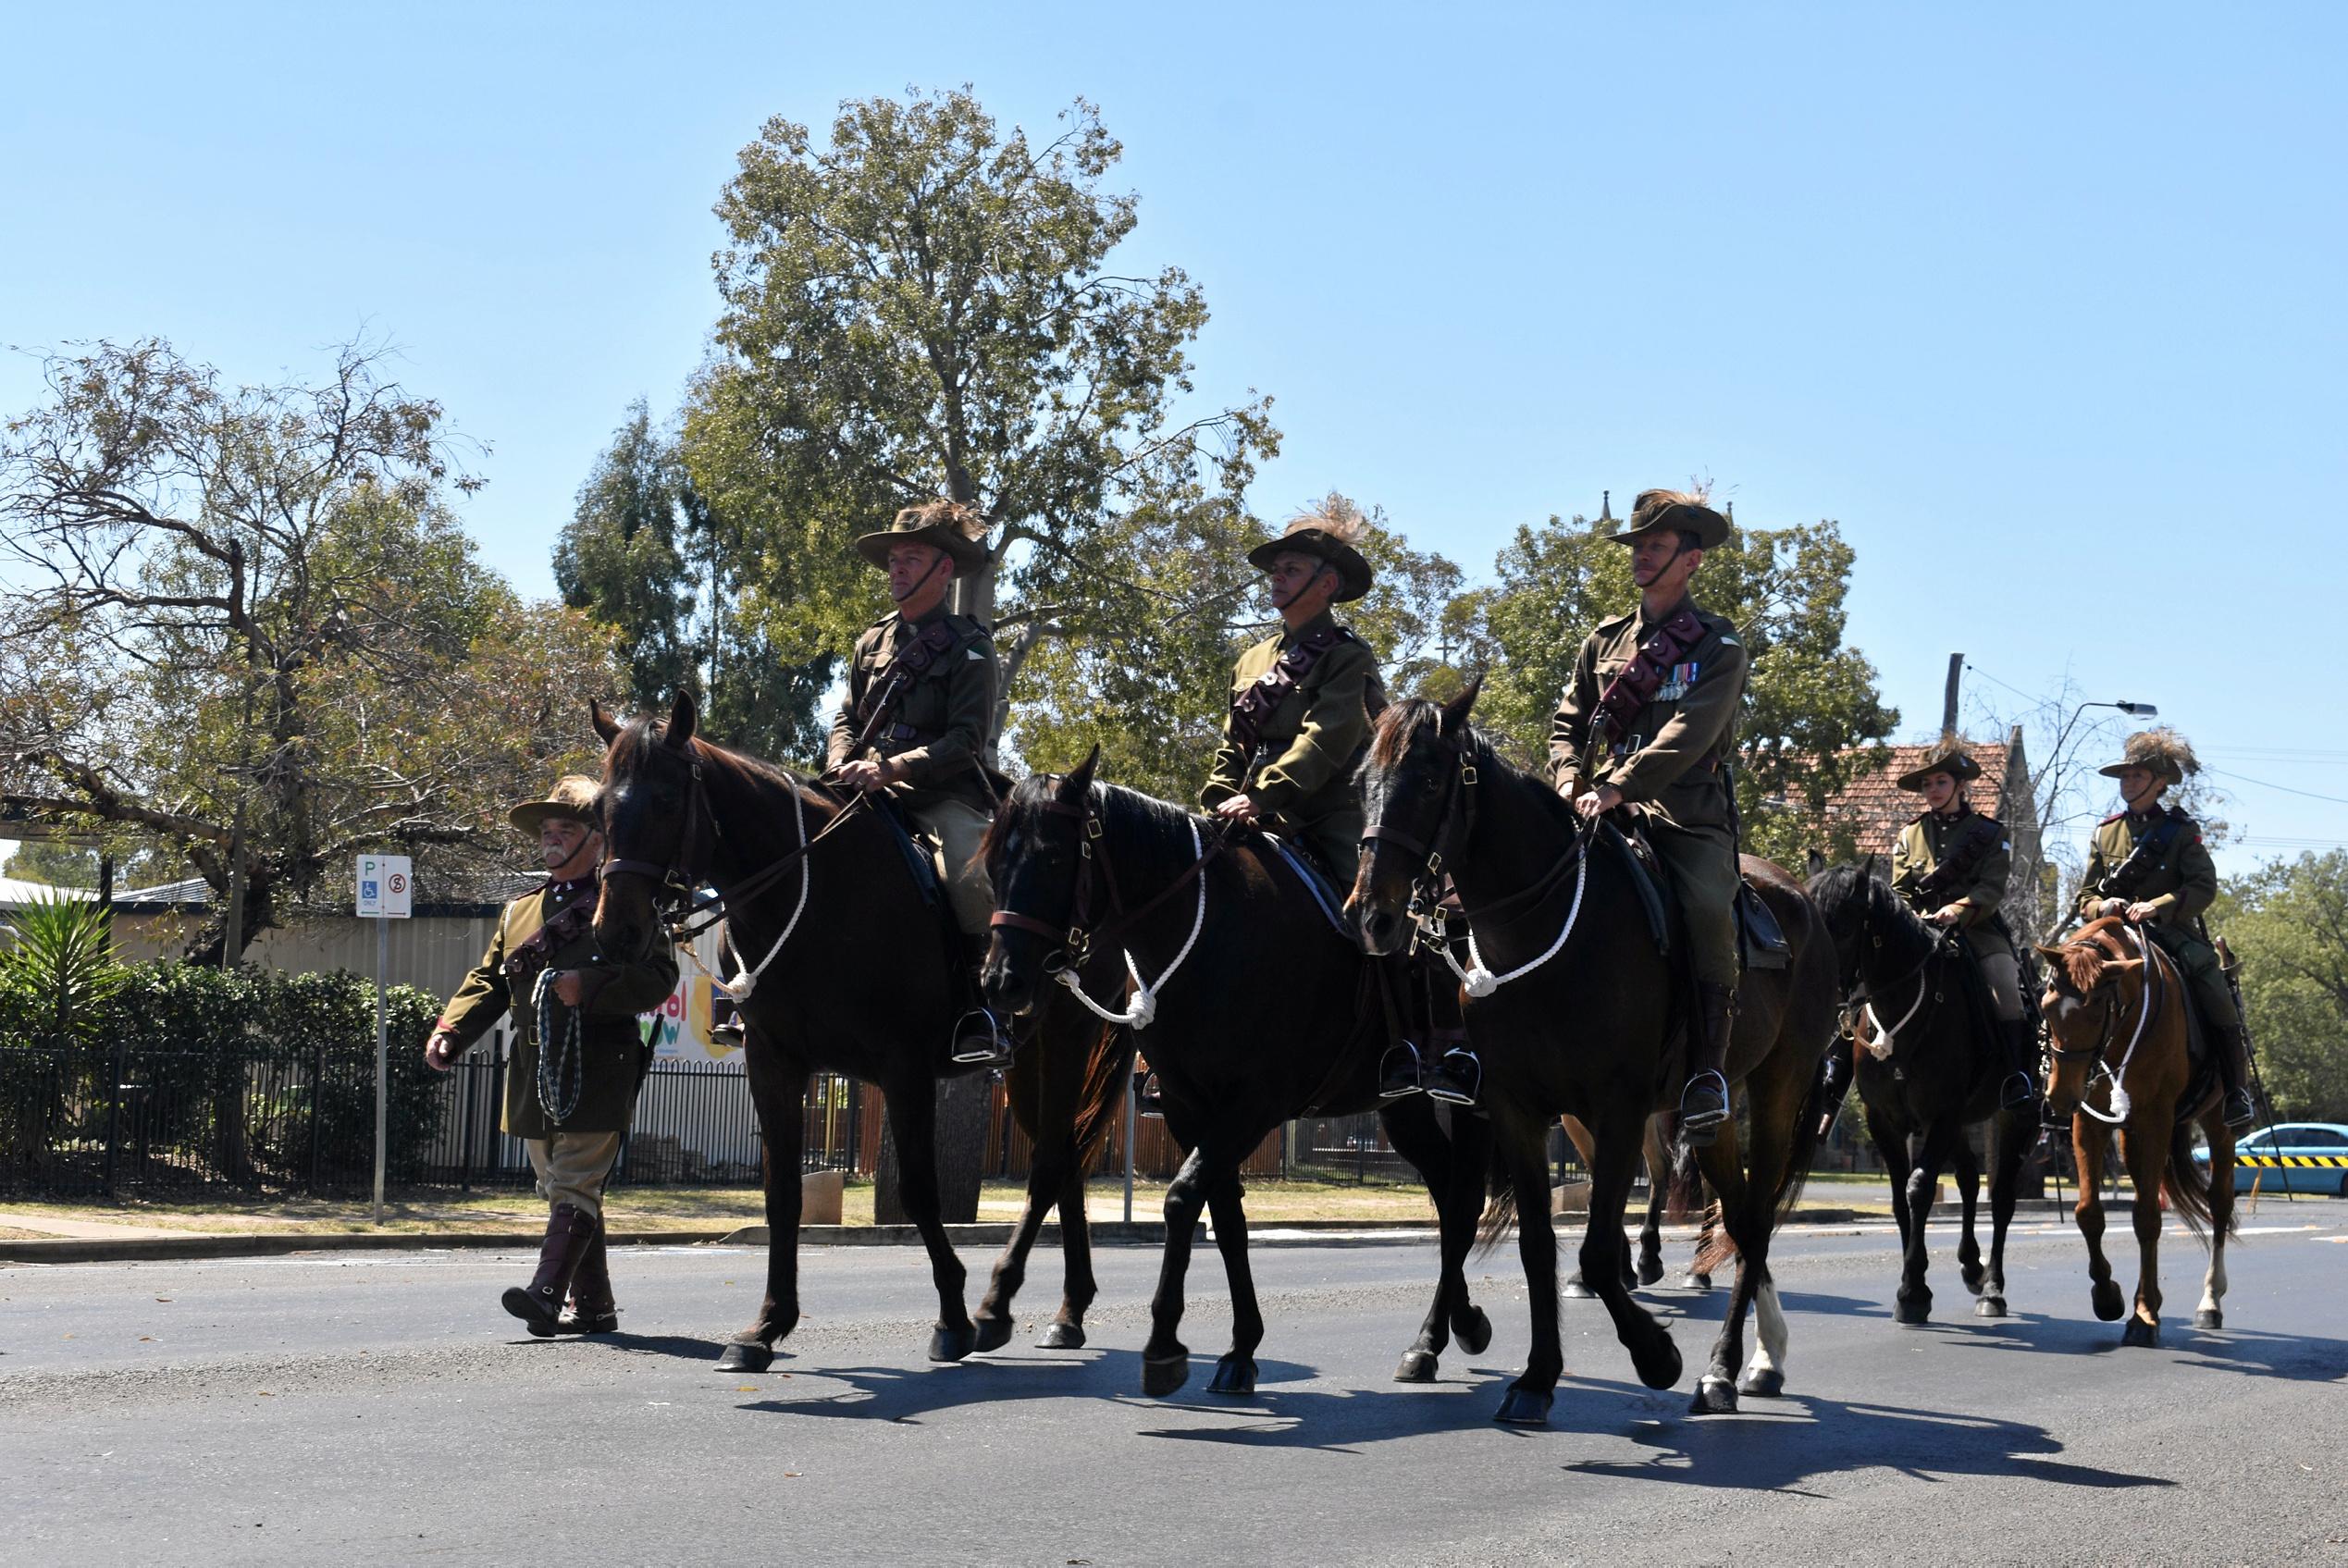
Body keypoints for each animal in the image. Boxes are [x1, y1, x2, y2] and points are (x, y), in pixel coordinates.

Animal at [591, 699, 1131, 1370]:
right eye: (598, 806)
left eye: (667, 800)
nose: (615, 931)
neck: (816, 892)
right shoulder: (774, 1062)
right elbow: (782, 1193)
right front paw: (767, 1326)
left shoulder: (905, 1067)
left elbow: (919, 1191)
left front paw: (953, 1318)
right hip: (1027, 1062)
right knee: (1065, 1161)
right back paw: (1066, 1312)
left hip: (1066, 1038)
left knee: (1055, 1160)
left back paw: (1015, 1309)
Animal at [981, 750, 1493, 1399]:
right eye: (992, 862)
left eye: (1051, 858)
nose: (1002, 982)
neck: (1207, 933)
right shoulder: (1189, 1106)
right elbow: (1224, 1214)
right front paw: (1241, 1347)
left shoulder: (1254, 1104)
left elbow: (1182, 1199)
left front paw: (1164, 1343)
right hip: (1403, 1109)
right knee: (1450, 1194)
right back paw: (1447, 1331)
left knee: (1464, 1196)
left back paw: (1435, 1336)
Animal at [1352, 690, 1840, 1426]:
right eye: (1362, 783)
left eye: (1432, 780)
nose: (1372, 917)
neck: (1547, 929)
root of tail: (1798, 895)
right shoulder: (1517, 1111)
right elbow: (1537, 1245)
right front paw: (1536, 1377)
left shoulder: (1619, 1108)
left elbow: (1598, 1249)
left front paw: (1656, 1354)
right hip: (1717, 1108)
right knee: (1736, 1213)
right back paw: (1746, 1359)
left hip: (1780, 1083)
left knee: (1754, 1220)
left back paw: (1725, 1368)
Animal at [2037, 920, 2235, 1352]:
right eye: (2047, 1005)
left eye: (2096, 1009)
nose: (2059, 1097)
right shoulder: (2089, 1121)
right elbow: (2088, 1212)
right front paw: (2107, 1296)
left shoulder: (2155, 1119)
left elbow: (2146, 1217)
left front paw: (2143, 1316)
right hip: (2130, 1138)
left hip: (2219, 1121)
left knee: (2219, 1203)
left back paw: (2210, 1301)